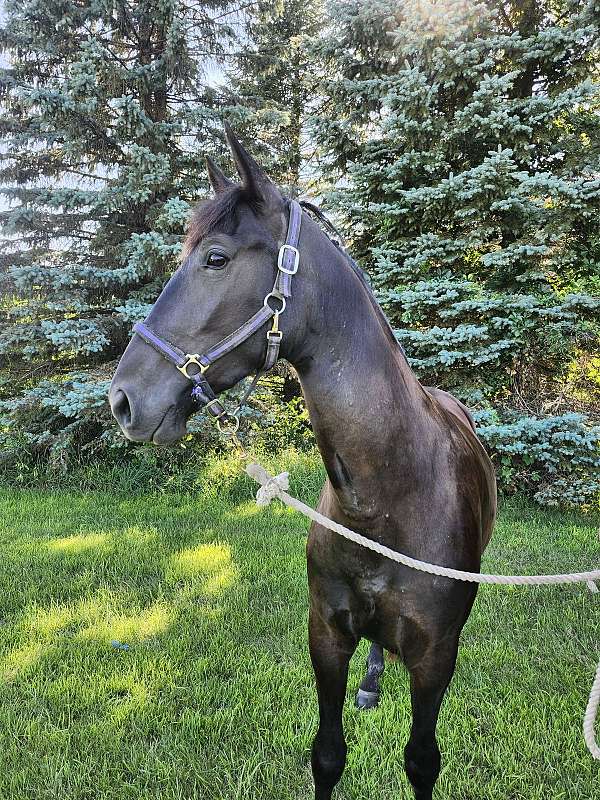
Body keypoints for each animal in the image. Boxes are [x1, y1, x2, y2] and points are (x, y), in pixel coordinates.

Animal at [109, 124, 497, 800]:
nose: (122, 399)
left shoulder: (434, 657)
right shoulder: (326, 635)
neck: (389, 498)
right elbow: (328, 755)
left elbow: (422, 760)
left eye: (215, 258)